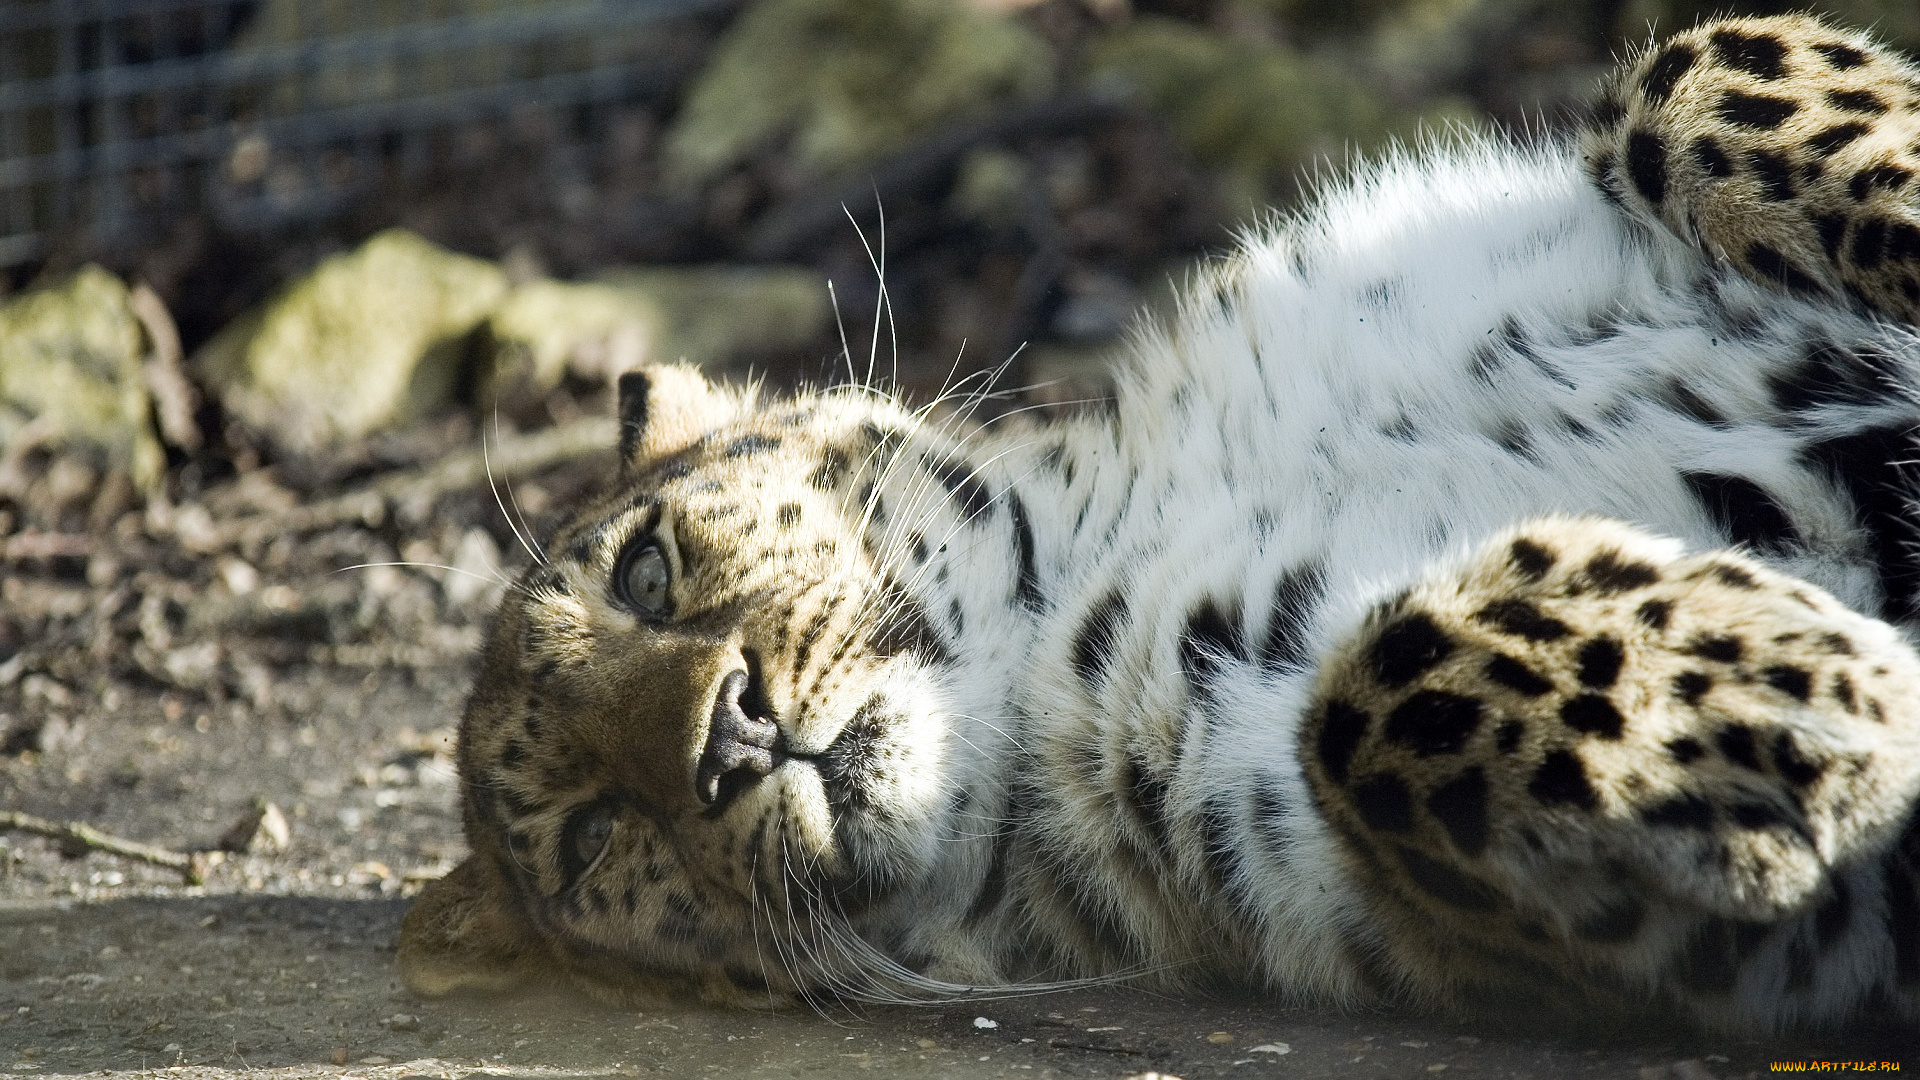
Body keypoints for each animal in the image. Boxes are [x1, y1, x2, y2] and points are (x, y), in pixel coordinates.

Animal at [393, 12, 1920, 1030]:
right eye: (597, 839)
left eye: (648, 574)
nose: (723, 740)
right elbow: (1370, 696)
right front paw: (1823, 696)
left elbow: (1699, 67)